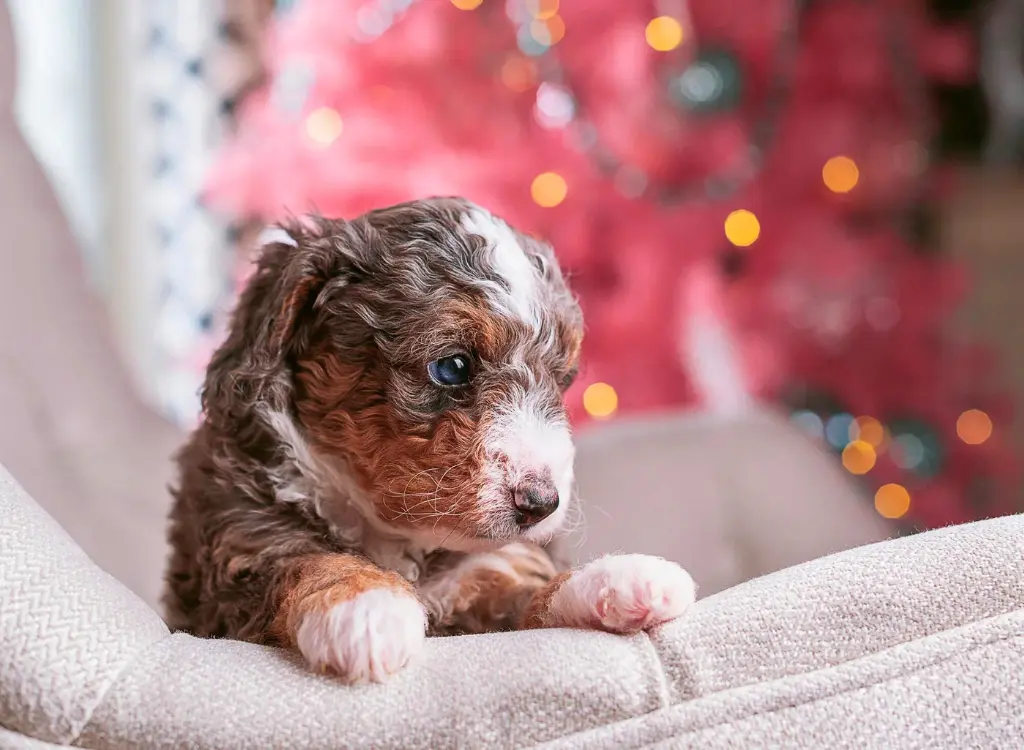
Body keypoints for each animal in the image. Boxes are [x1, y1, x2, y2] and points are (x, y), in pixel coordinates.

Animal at [165, 196, 696, 684]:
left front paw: (615, 579)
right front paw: (367, 606)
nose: (541, 503)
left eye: (562, 379)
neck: (395, 538)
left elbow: (532, 594)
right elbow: (303, 561)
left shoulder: (488, 570)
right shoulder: (237, 555)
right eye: (452, 366)